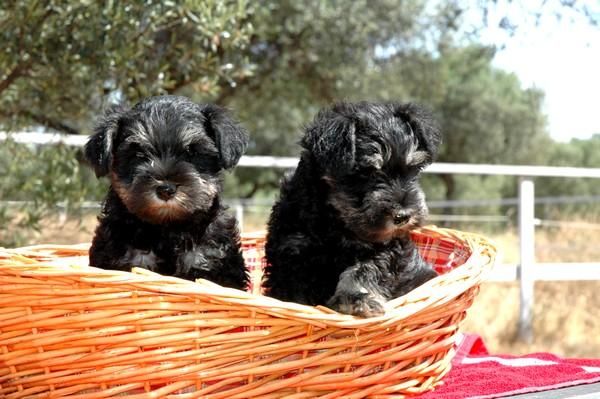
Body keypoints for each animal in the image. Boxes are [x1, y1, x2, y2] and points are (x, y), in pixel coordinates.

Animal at [264, 101, 442, 318]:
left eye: (413, 169)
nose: (403, 216)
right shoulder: (292, 254)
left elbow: (362, 271)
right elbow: (294, 292)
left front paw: (355, 298)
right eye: (367, 172)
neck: (335, 221)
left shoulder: (386, 249)